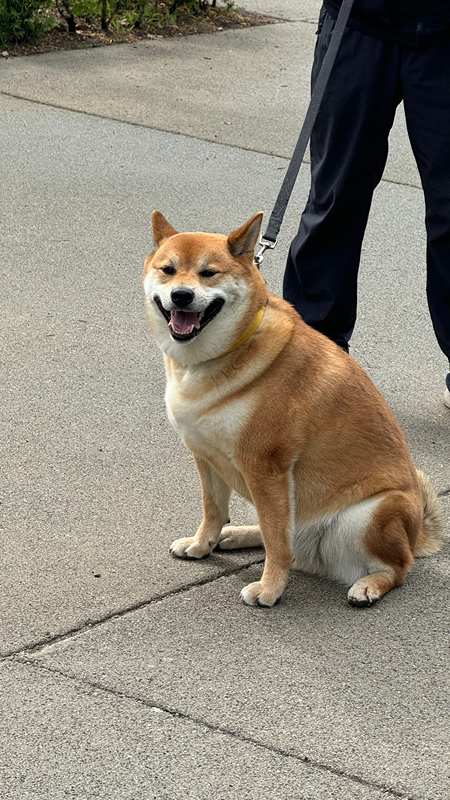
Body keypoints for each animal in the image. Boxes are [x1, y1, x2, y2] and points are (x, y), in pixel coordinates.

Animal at [143, 211, 442, 608]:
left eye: (208, 273)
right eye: (169, 270)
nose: (181, 295)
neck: (226, 354)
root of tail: (415, 533)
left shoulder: (266, 467)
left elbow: (276, 542)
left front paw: (270, 589)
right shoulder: (206, 456)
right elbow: (214, 511)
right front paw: (202, 543)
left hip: (372, 512)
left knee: (398, 567)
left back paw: (370, 585)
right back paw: (237, 533)